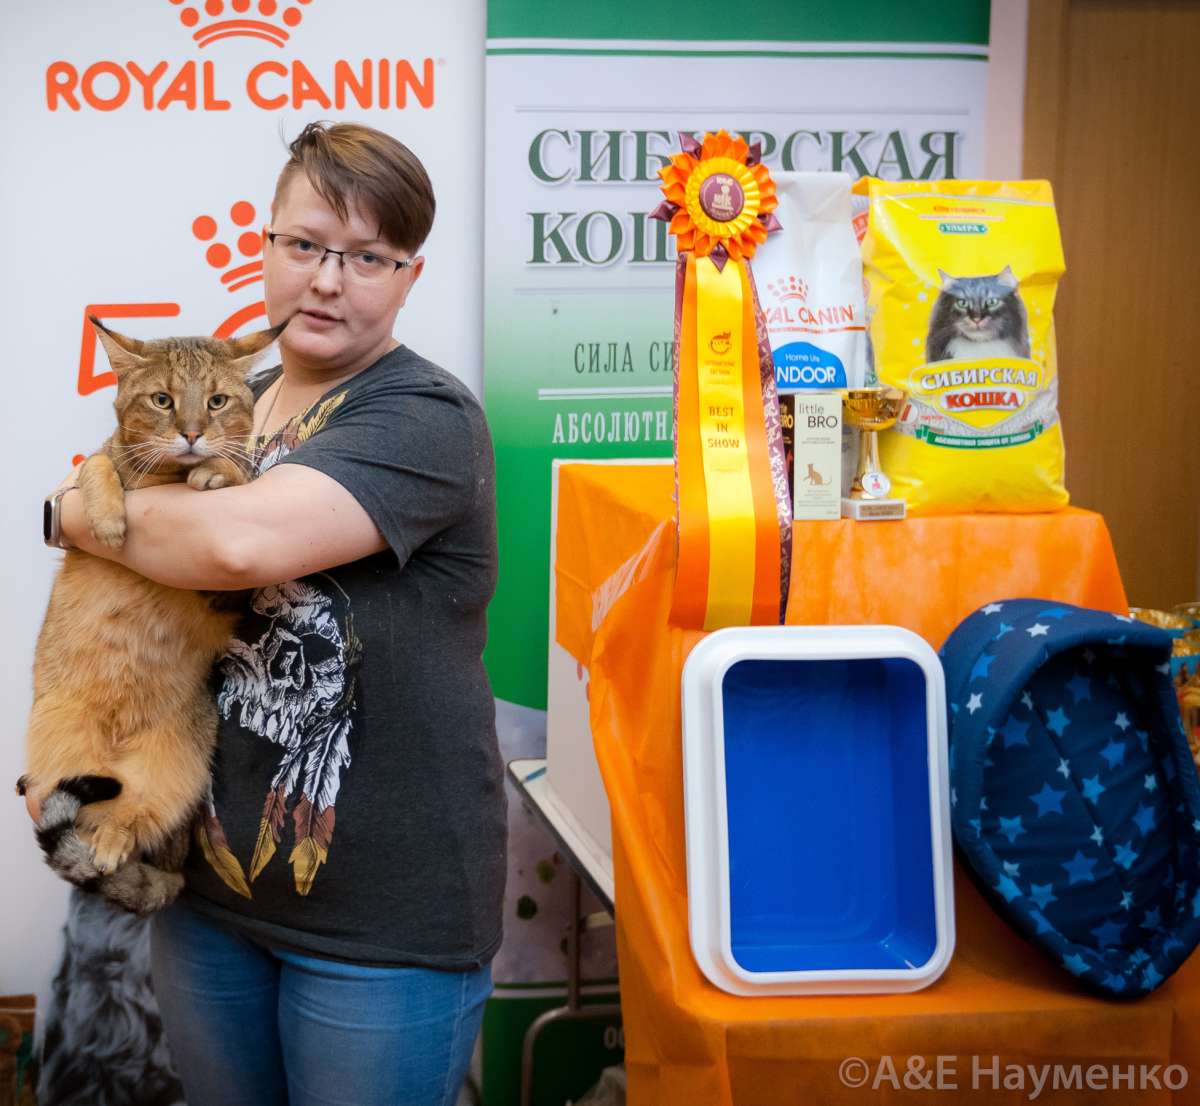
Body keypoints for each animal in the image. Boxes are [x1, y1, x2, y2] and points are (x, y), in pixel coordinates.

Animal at [19, 316, 286, 915]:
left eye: (216, 401)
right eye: (162, 400)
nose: (192, 434)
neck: (164, 480)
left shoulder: (227, 588)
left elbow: (240, 475)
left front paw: (216, 470)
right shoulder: (100, 466)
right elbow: (97, 462)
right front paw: (108, 519)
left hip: (176, 764)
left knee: (132, 818)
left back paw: (112, 843)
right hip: (64, 743)